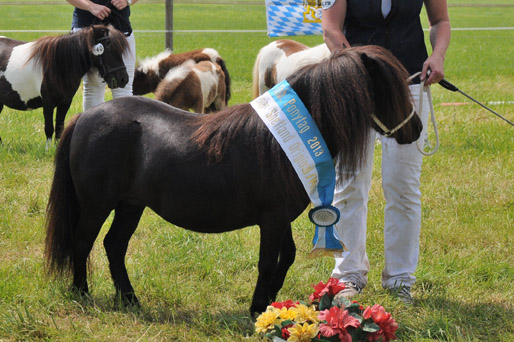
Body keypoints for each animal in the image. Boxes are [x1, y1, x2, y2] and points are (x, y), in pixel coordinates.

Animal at [43, 44, 420, 316]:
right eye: (391, 90)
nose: (415, 130)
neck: (281, 142)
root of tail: (85, 117)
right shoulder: (272, 219)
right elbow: (268, 262)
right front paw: (258, 309)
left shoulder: (279, 218)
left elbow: (287, 257)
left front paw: (271, 303)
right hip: (97, 204)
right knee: (83, 242)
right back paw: (82, 294)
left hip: (130, 205)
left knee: (114, 246)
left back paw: (130, 300)